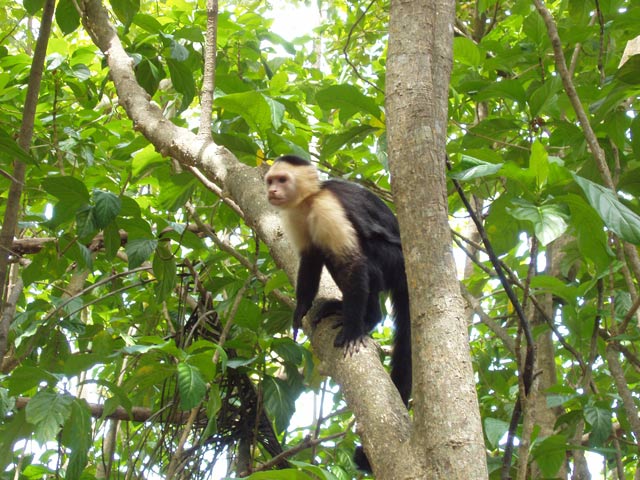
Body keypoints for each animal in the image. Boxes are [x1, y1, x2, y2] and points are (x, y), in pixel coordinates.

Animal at [264, 155, 412, 407]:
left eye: (282, 180)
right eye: (271, 181)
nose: (272, 190)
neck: (310, 199)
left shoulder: (327, 209)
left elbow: (353, 263)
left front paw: (352, 331)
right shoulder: (296, 215)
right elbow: (311, 258)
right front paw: (300, 309)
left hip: (394, 262)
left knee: (361, 263)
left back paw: (370, 318)